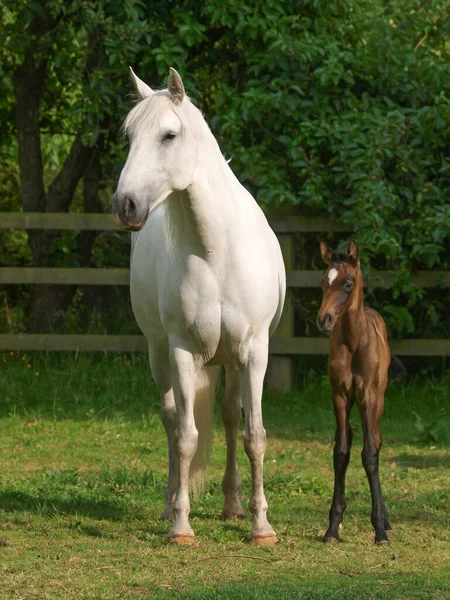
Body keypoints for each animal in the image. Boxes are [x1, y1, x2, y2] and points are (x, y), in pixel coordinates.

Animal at [113, 68, 284, 548]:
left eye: (169, 135)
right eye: (129, 136)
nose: (125, 204)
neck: (215, 251)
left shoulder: (254, 352)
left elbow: (254, 435)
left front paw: (261, 527)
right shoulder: (183, 352)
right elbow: (186, 437)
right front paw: (181, 526)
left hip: (231, 361)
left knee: (228, 415)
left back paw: (233, 506)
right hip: (160, 355)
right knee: (173, 421)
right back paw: (171, 502)